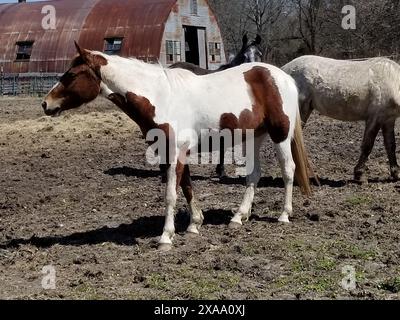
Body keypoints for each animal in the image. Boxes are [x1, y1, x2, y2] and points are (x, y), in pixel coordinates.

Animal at [43, 42, 312, 251]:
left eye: (72, 75)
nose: (46, 104)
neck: (161, 97)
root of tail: (283, 76)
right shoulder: (170, 153)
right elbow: (187, 187)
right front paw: (194, 224)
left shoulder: (175, 153)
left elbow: (171, 194)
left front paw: (166, 236)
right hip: (255, 136)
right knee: (254, 175)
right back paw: (238, 217)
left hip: (280, 135)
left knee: (288, 170)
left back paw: (284, 215)